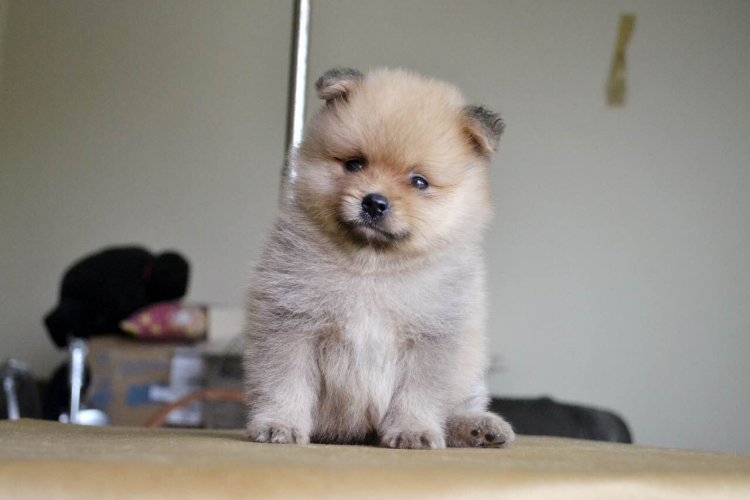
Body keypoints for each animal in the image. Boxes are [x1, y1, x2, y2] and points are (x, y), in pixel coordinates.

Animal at [244, 68, 514, 449]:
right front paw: (279, 423)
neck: (373, 267)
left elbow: (418, 393)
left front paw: (413, 429)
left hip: (467, 370)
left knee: (459, 405)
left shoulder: (432, 338)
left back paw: (478, 427)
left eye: (419, 182)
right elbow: (285, 381)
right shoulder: (293, 322)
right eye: (355, 163)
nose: (374, 202)